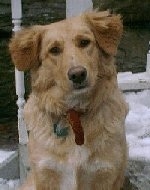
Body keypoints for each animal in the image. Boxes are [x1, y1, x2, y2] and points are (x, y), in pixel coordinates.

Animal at [9, 10, 127, 190]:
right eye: (54, 50)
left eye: (84, 42)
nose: (78, 74)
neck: (74, 115)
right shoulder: (45, 173)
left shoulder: (106, 173)